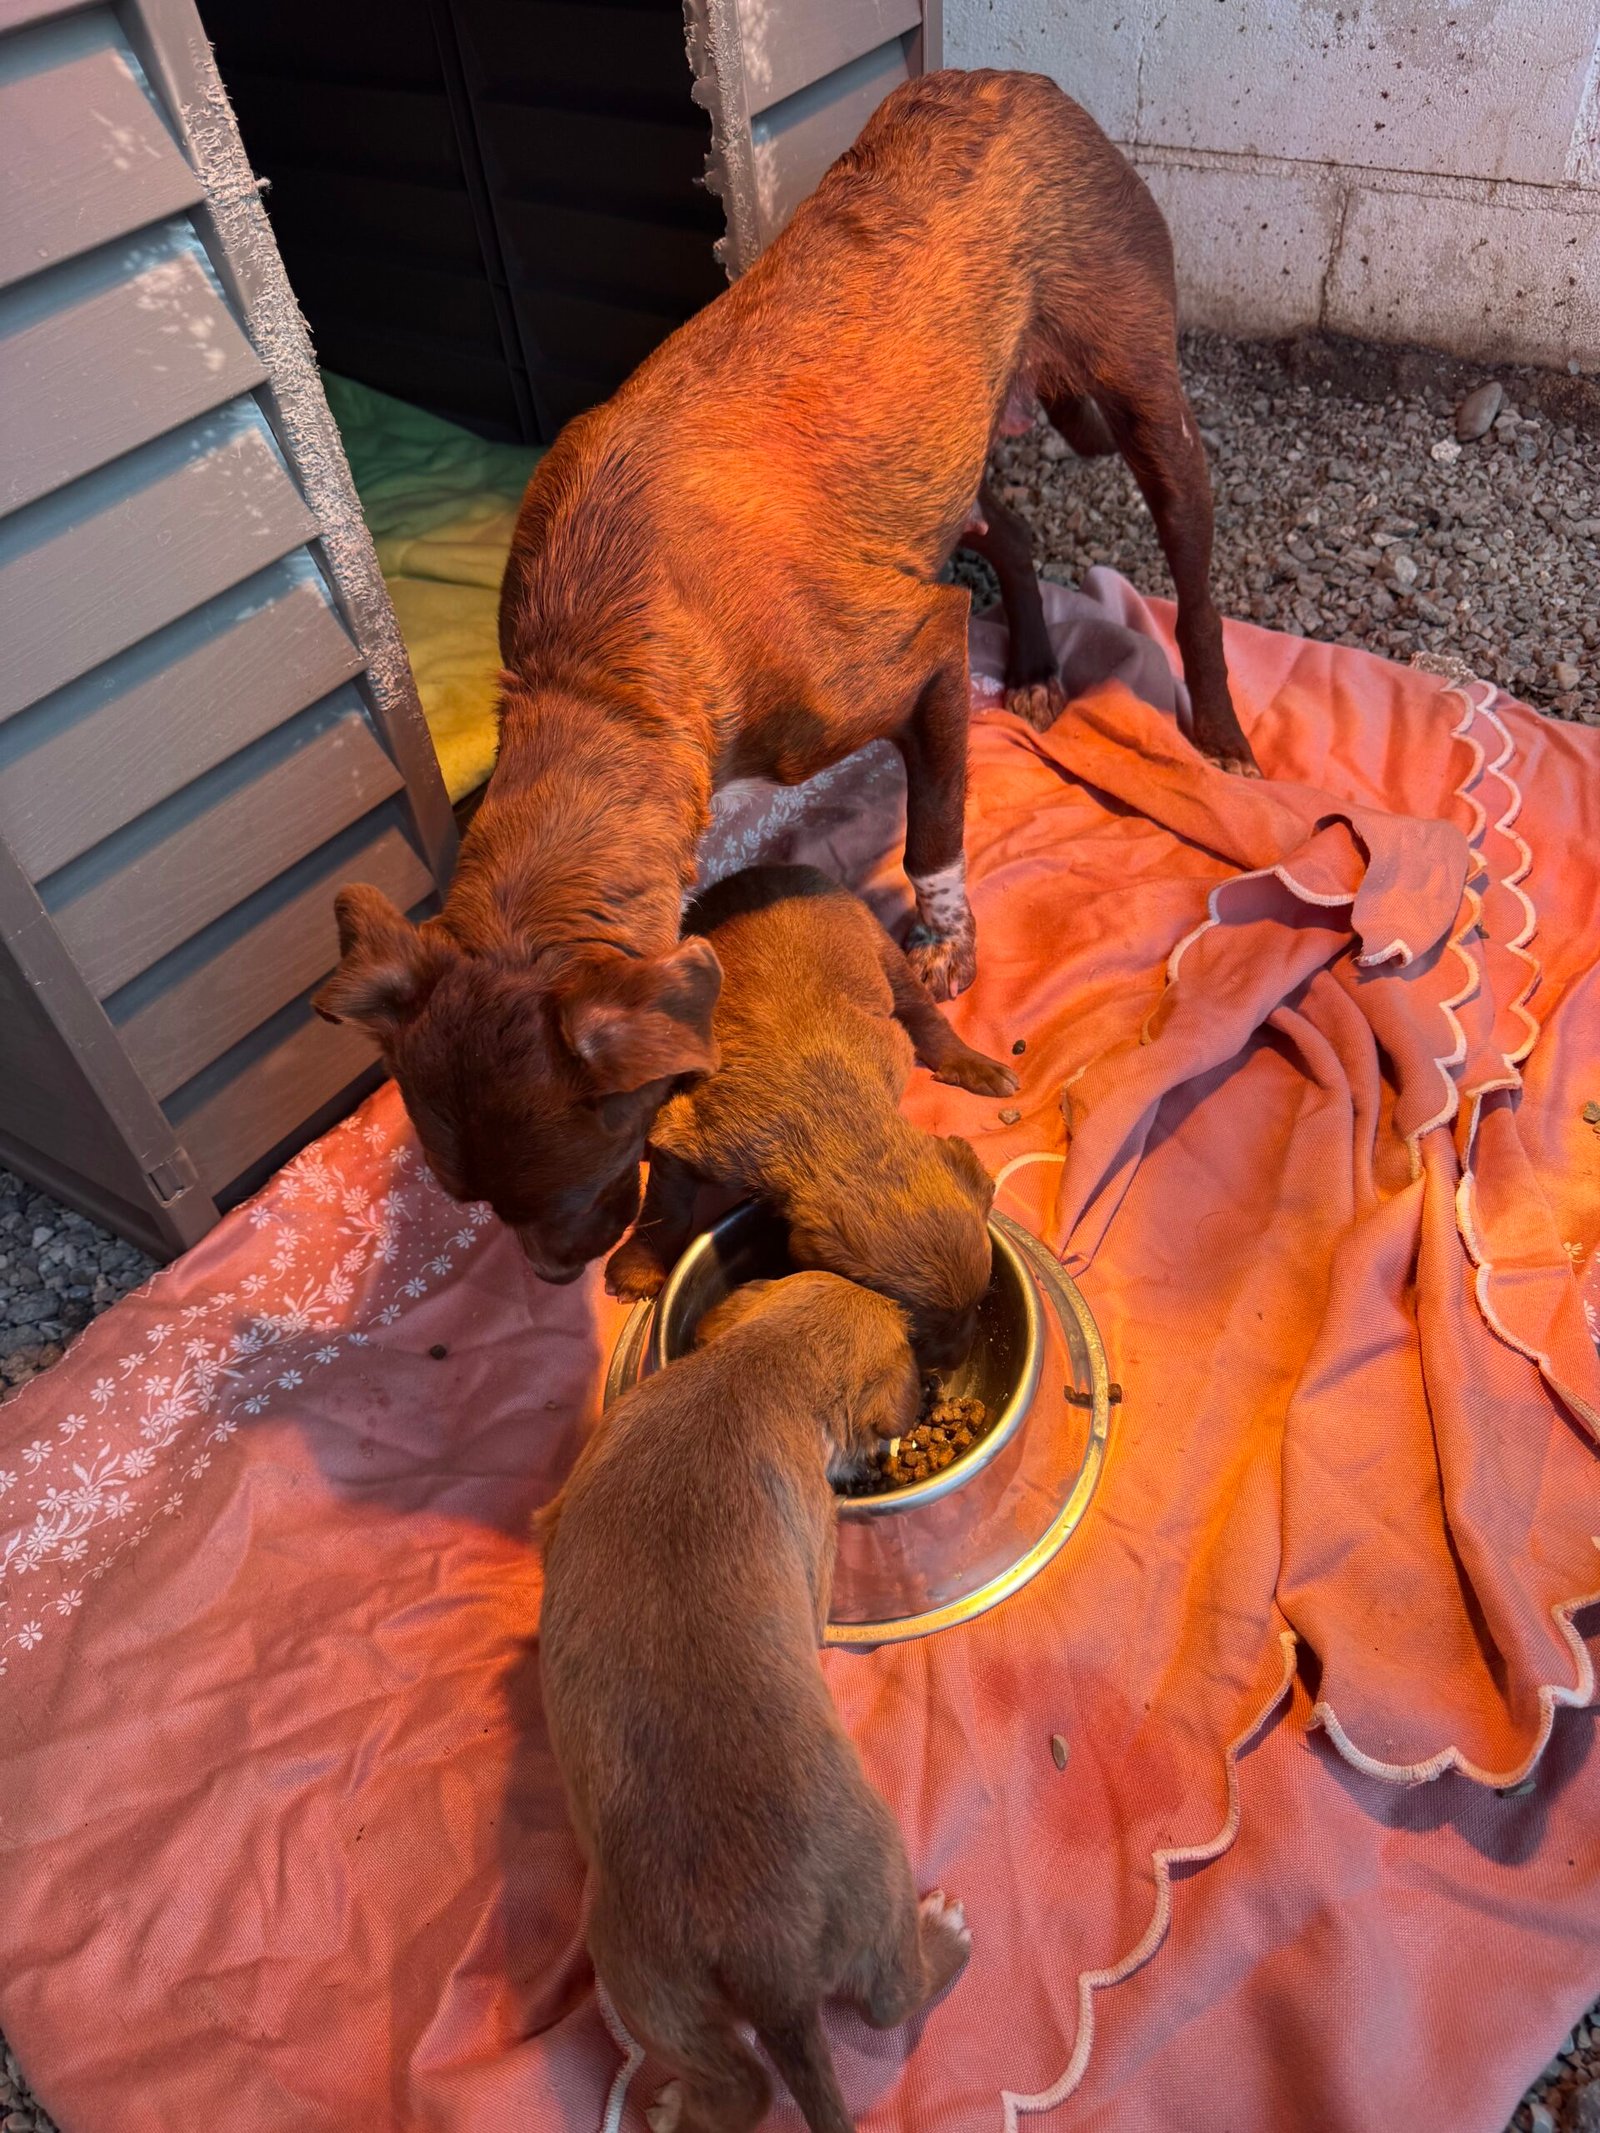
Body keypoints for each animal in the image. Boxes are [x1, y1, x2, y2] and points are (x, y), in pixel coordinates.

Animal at [315, 69, 1245, 1279]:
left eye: (584, 1168)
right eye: (468, 1201)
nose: (566, 1275)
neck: (598, 671)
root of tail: (1021, 84)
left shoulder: (924, 647)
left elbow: (934, 831)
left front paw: (944, 946)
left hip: (1139, 397)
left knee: (1192, 573)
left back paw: (1219, 728)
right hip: (936, 473)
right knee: (1015, 529)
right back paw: (1041, 666)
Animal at [538, 1271, 972, 2133]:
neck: (755, 1370)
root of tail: (770, 1961)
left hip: (651, 1987)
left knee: (752, 2079)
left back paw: (676, 2108)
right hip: (872, 1879)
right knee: (876, 2009)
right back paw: (944, 1938)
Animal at [603, 866, 1011, 1368]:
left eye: (980, 1300)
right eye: (914, 1322)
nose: (953, 1361)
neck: (841, 1116)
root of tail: (764, 869)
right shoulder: (687, 1137)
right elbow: (667, 1208)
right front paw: (642, 1265)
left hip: (882, 950)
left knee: (927, 1016)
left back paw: (975, 1065)